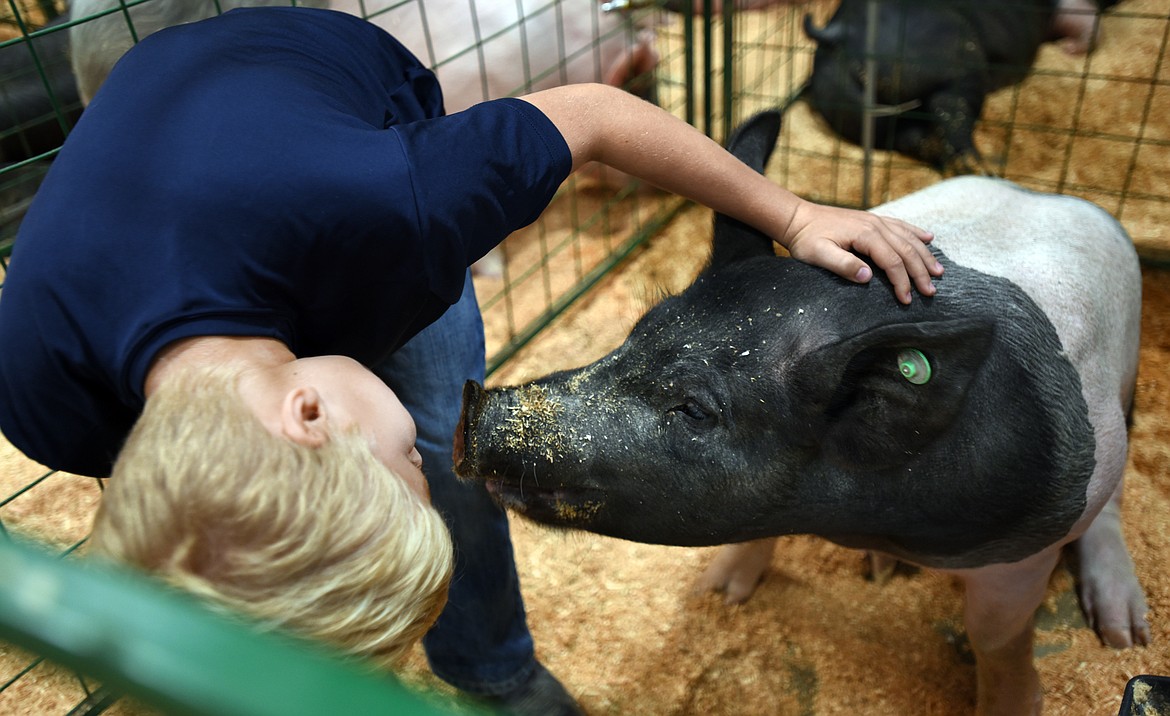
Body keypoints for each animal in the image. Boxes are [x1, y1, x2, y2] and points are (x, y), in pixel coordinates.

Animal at [456, 108, 1151, 711]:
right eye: (636, 332)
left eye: (695, 410)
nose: (478, 412)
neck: (858, 517)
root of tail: (1050, 196)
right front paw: (717, 594)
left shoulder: (1029, 545)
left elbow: (996, 635)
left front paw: (1017, 704)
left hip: (1121, 398)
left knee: (1114, 502)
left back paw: (1126, 634)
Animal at [804, 0, 1113, 174]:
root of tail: (842, 33)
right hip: (955, 61)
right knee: (953, 113)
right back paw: (980, 167)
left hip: (847, 105)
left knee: (910, 136)